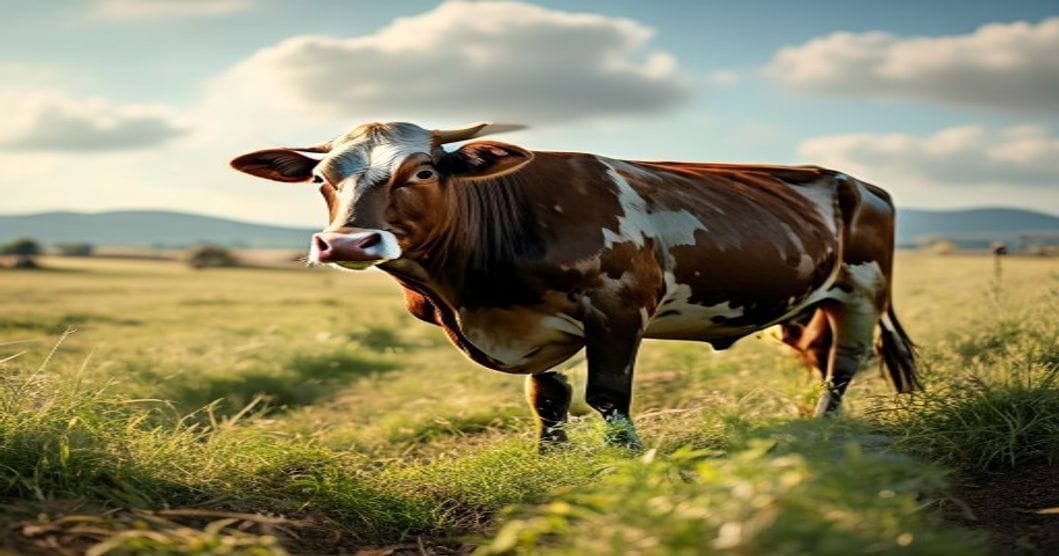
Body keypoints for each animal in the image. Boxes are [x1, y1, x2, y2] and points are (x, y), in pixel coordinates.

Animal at [230, 121, 918, 450]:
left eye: (422, 171)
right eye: (320, 177)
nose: (347, 243)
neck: (469, 296)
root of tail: (858, 181)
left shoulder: (618, 309)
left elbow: (608, 397)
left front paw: (624, 457)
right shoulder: (534, 326)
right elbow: (548, 397)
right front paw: (549, 456)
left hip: (861, 291)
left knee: (843, 362)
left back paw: (826, 423)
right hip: (805, 304)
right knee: (817, 353)